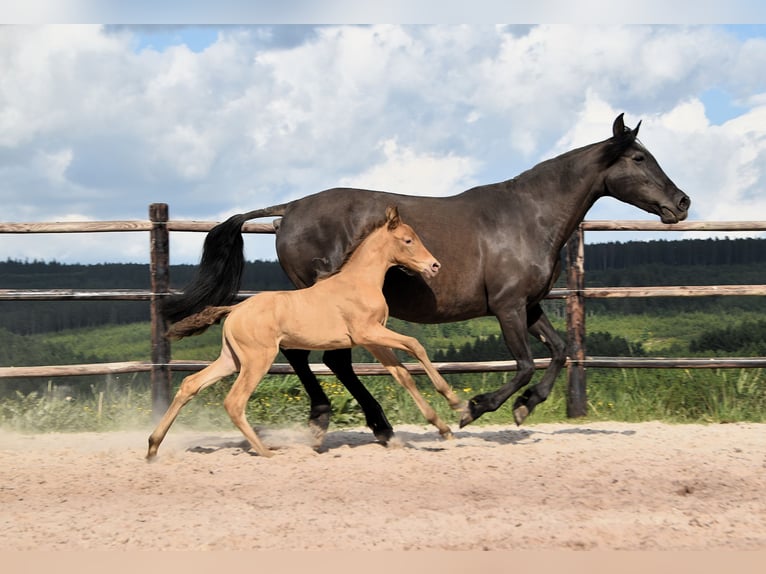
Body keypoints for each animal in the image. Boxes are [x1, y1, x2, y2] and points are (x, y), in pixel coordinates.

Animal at [147, 206, 466, 459]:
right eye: (408, 240)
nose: (434, 265)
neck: (359, 281)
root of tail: (234, 309)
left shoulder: (374, 339)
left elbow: (403, 375)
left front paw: (443, 427)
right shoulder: (368, 333)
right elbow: (415, 345)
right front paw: (456, 403)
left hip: (232, 359)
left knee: (190, 384)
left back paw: (153, 446)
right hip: (257, 360)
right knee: (234, 402)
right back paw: (266, 451)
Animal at [164, 113, 690, 444]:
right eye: (639, 159)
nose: (682, 203)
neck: (528, 216)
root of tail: (289, 210)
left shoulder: (530, 306)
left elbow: (559, 352)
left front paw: (526, 407)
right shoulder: (507, 307)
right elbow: (523, 364)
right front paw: (472, 408)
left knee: (324, 359)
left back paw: (366, 425)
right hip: (323, 299)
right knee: (318, 357)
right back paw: (347, 424)